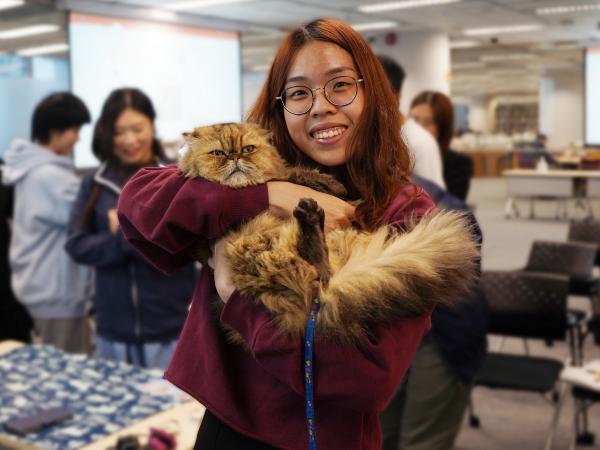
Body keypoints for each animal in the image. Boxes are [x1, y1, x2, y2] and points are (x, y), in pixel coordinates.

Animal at [178, 122, 478, 344]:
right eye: (218, 154)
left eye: (248, 149)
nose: (235, 158)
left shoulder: (287, 174)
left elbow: (297, 173)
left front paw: (333, 186)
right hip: (260, 250)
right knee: (317, 271)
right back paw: (310, 221)